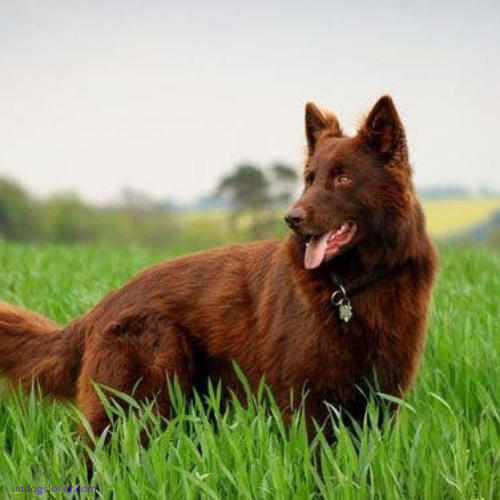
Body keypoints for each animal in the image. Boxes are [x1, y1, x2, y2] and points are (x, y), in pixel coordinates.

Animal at [0, 94, 438, 438]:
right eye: (309, 180)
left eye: (343, 178)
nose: (291, 218)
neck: (353, 286)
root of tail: (99, 309)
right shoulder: (306, 404)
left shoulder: (380, 403)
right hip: (146, 394)